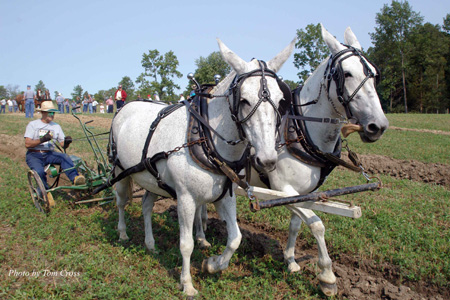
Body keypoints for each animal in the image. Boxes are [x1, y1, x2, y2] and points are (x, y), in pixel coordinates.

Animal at [111, 38, 296, 296]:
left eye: (280, 100)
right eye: (244, 100)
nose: (267, 160)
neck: (207, 138)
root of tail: (125, 107)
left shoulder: (224, 196)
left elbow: (235, 238)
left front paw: (212, 264)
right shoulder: (186, 198)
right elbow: (186, 244)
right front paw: (187, 283)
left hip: (151, 179)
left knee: (146, 206)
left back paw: (150, 244)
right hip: (120, 172)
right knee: (121, 202)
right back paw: (122, 233)